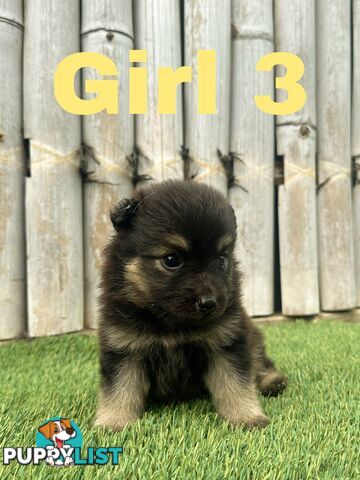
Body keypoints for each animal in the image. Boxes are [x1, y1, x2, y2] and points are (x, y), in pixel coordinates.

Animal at [95, 181, 286, 432]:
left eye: (221, 259)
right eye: (171, 260)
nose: (209, 302)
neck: (171, 324)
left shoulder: (225, 342)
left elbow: (235, 384)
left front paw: (246, 417)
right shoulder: (124, 347)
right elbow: (120, 388)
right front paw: (113, 421)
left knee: (260, 361)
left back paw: (273, 381)